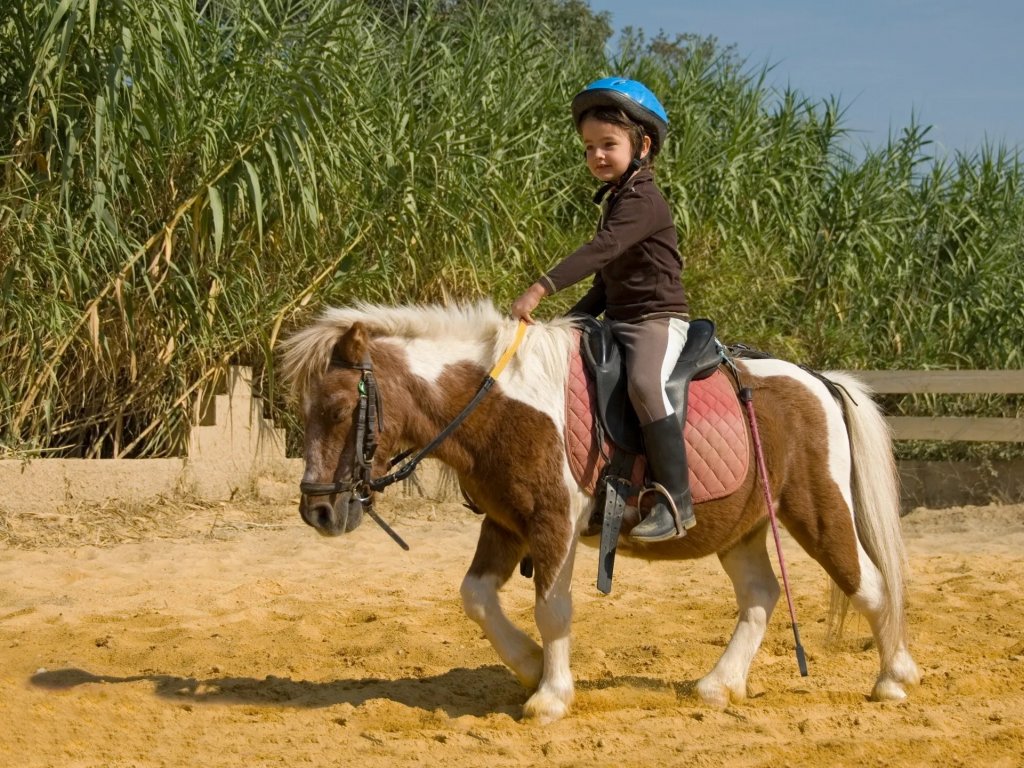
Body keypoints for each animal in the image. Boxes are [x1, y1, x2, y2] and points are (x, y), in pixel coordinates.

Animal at [278, 303, 921, 729]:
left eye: (338, 409)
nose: (318, 510)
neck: (499, 401)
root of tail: (818, 381)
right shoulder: (506, 523)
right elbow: (476, 597)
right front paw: (529, 666)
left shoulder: (552, 523)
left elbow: (552, 608)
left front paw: (550, 695)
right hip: (741, 525)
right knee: (761, 595)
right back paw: (720, 685)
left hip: (818, 507)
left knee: (869, 584)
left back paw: (894, 678)